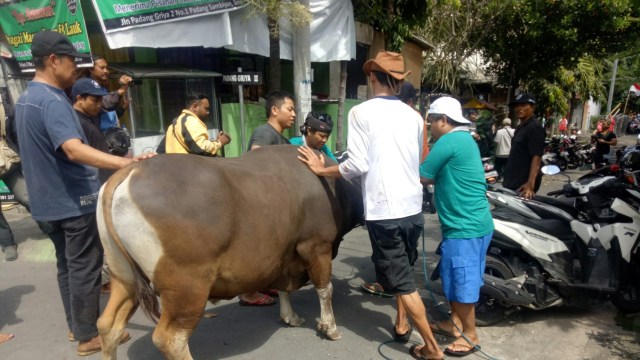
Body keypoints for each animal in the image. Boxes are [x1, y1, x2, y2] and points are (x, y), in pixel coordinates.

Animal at [96, 145, 364, 358]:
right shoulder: (317, 245)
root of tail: (130, 171)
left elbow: (283, 288)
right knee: (169, 339)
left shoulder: (282, 254)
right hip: (186, 288)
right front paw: (330, 327)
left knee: (108, 325)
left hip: (124, 277)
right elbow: (325, 288)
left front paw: (290, 316)